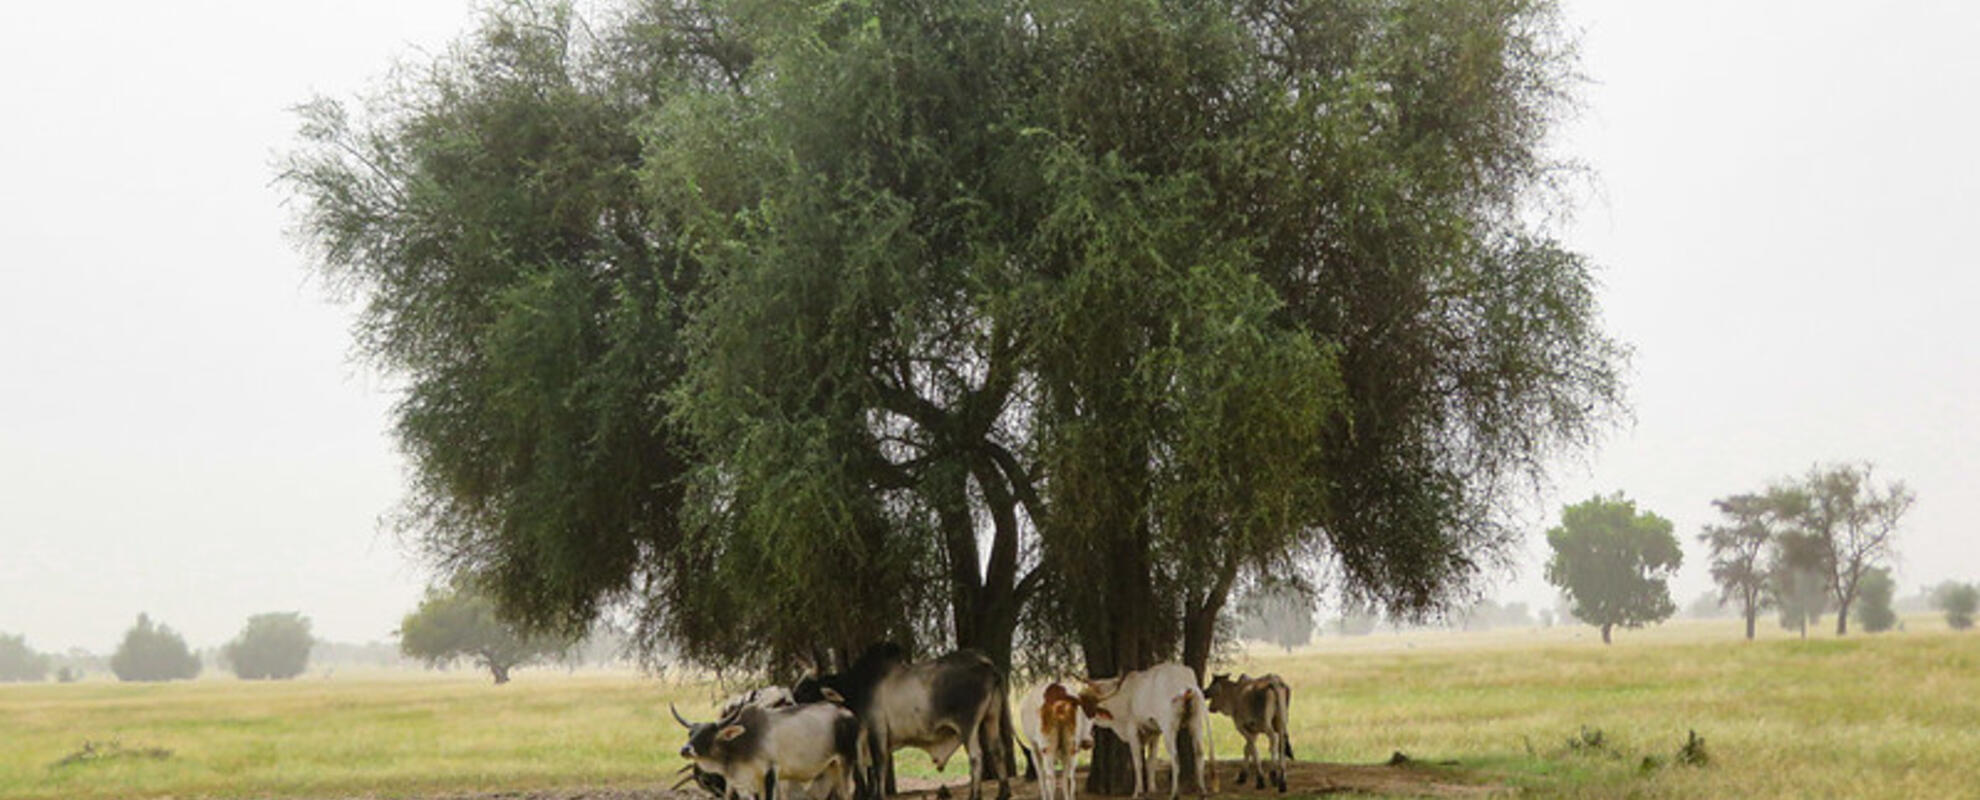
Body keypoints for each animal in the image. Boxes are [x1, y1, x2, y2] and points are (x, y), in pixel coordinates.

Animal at [1077, 661, 1211, 800]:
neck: (1123, 695)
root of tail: (1186, 685)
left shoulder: (1132, 731)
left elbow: (1138, 762)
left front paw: (1138, 792)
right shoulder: (1155, 733)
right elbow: (1151, 761)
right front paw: (1151, 790)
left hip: (1169, 728)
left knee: (1175, 757)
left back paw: (1174, 793)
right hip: (1196, 723)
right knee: (1199, 753)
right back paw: (1202, 791)